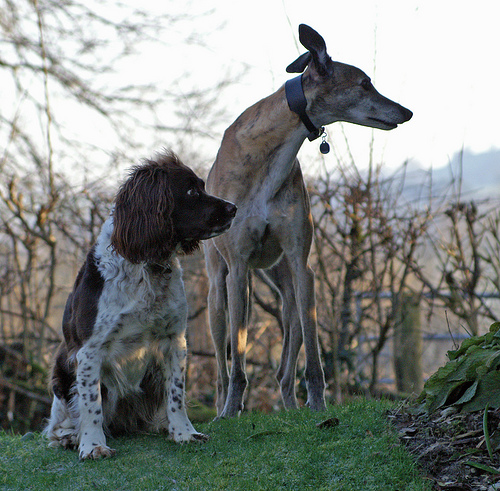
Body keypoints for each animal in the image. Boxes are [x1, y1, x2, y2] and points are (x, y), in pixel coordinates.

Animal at [43, 151, 236, 462]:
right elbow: (91, 404)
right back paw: (70, 437)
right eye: (191, 192)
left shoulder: (174, 340)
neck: (148, 265)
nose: (234, 208)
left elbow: (176, 395)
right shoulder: (88, 351)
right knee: (61, 421)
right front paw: (92, 445)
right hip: (62, 365)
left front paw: (184, 433)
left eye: (202, 187)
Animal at [204, 25, 414, 418]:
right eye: (365, 84)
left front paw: (318, 402)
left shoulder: (302, 264)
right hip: (218, 289)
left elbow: (314, 357)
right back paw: (225, 407)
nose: (407, 112)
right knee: (224, 358)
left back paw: (289, 407)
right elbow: (237, 358)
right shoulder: (237, 266)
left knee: (286, 361)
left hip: (289, 286)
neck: (271, 152)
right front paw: (233, 405)